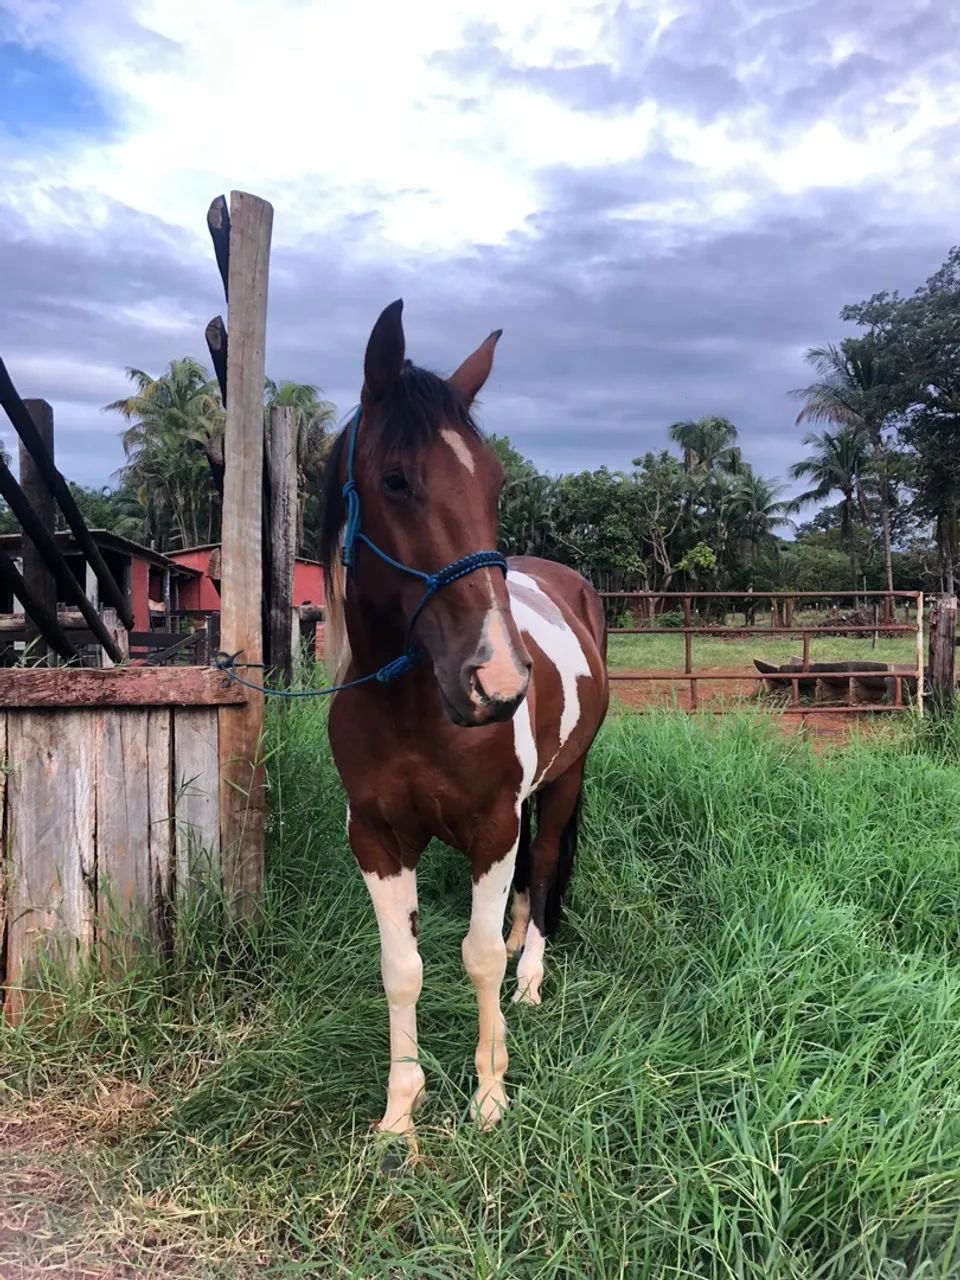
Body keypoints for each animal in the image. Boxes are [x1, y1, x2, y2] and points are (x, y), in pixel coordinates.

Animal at [320, 300, 609, 1137]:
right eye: (394, 478)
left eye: (495, 482)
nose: (500, 682)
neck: (410, 708)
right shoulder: (377, 837)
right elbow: (402, 968)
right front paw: (400, 1111)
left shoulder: (493, 827)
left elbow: (477, 958)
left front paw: (489, 1094)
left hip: (565, 781)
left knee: (542, 866)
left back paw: (532, 975)